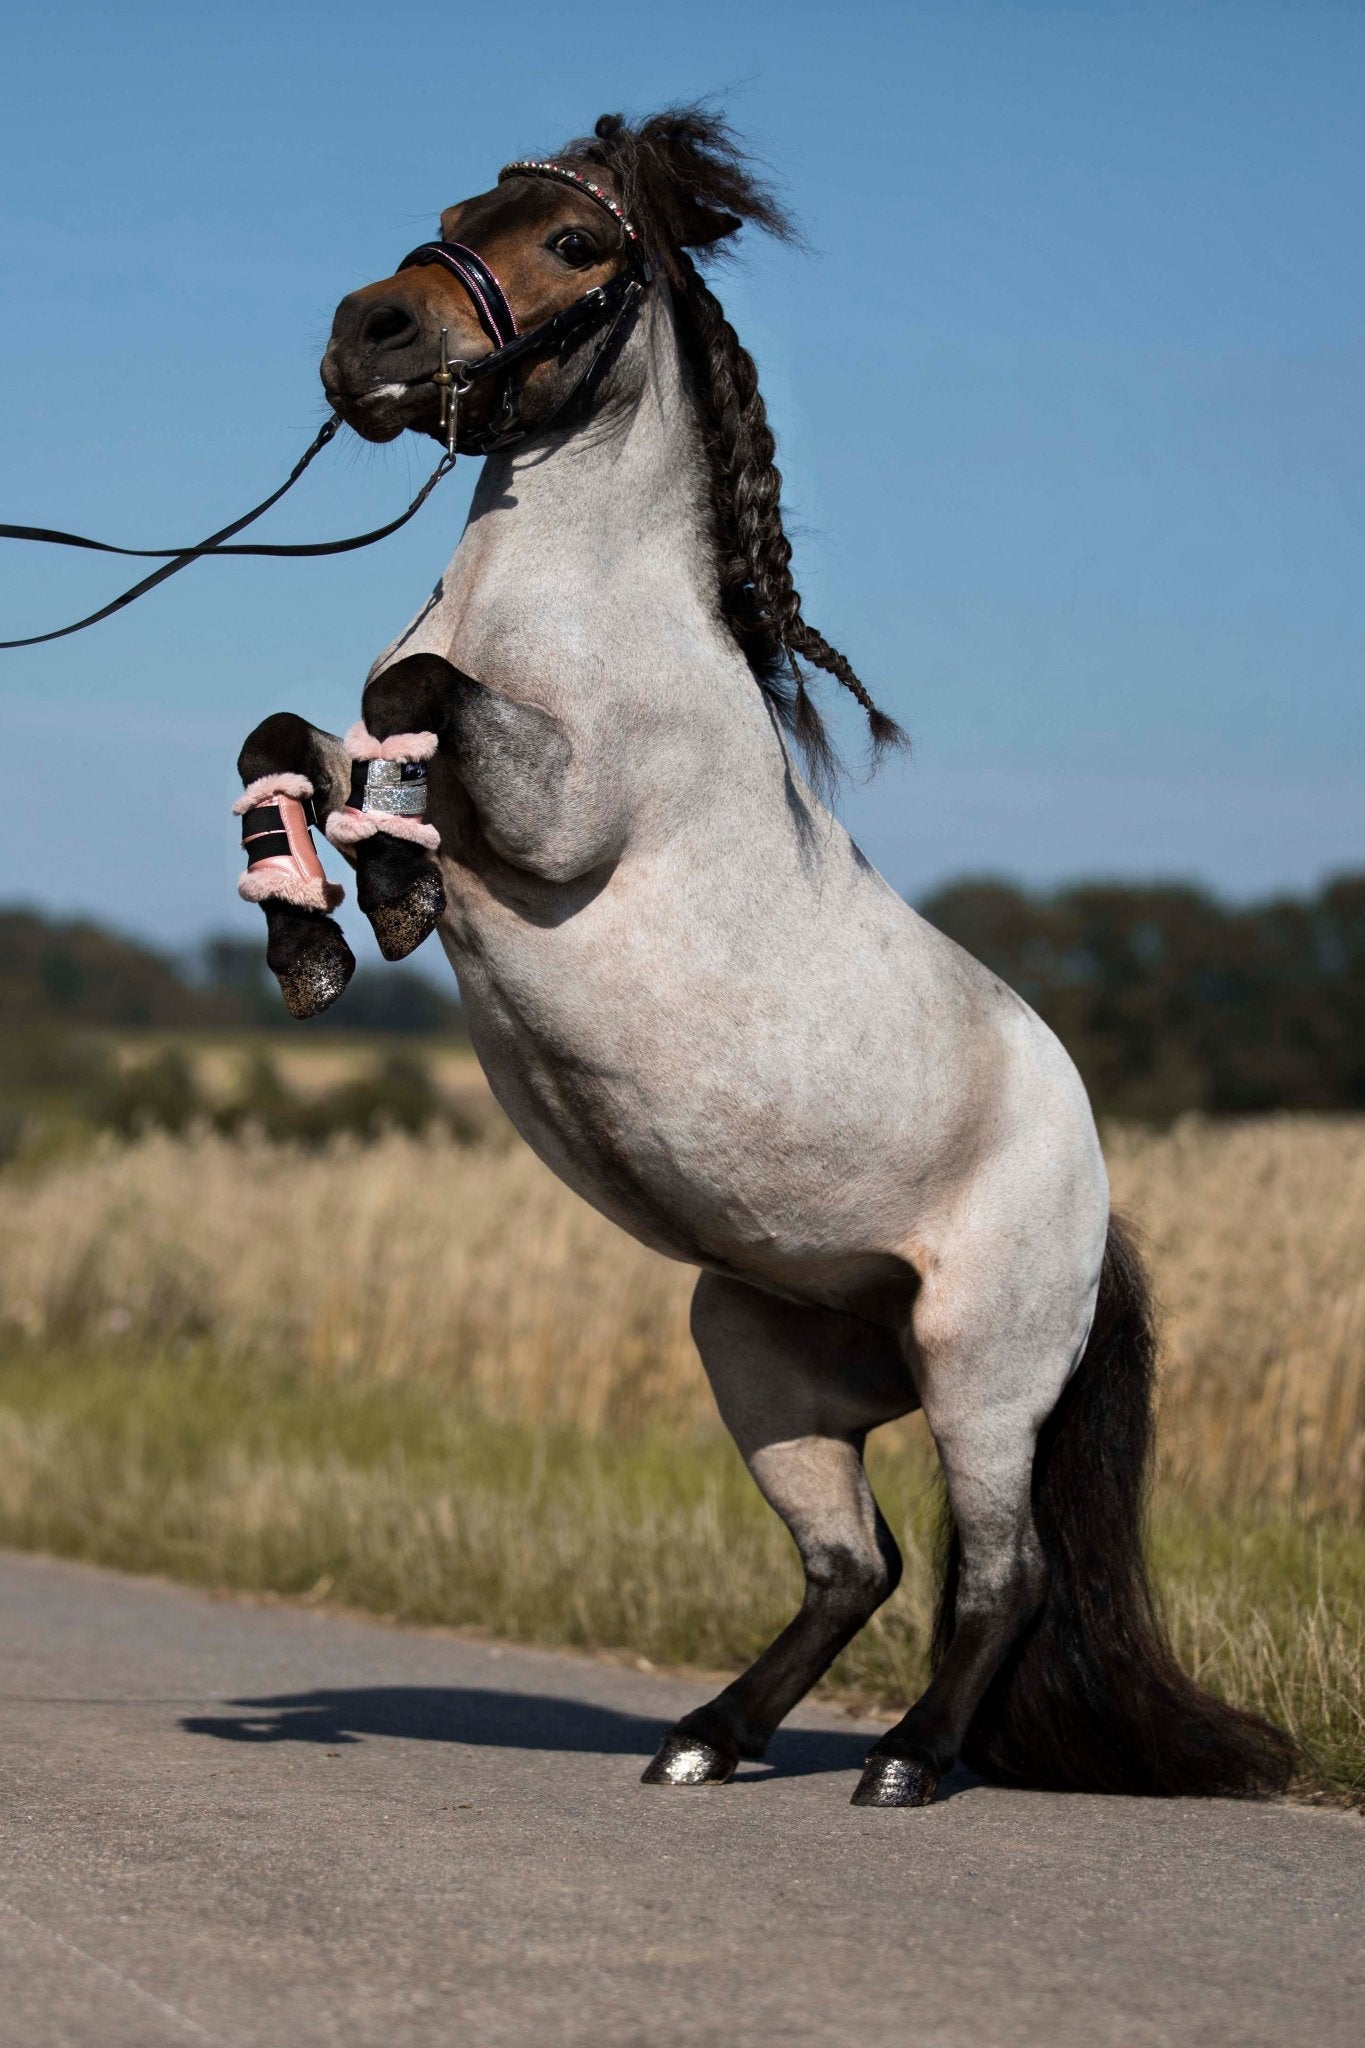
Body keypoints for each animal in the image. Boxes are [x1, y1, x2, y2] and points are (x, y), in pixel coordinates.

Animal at [232, 112, 1293, 1810]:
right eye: (455, 209)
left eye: (576, 244)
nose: (368, 336)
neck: (577, 613)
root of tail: (1098, 1205)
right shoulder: (393, 757)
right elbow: (287, 736)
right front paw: (311, 934)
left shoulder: (561, 818)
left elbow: (409, 692)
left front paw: (387, 891)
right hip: (759, 1353)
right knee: (853, 1566)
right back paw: (704, 1741)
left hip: (980, 1370)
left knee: (1000, 1574)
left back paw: (908, 1767)